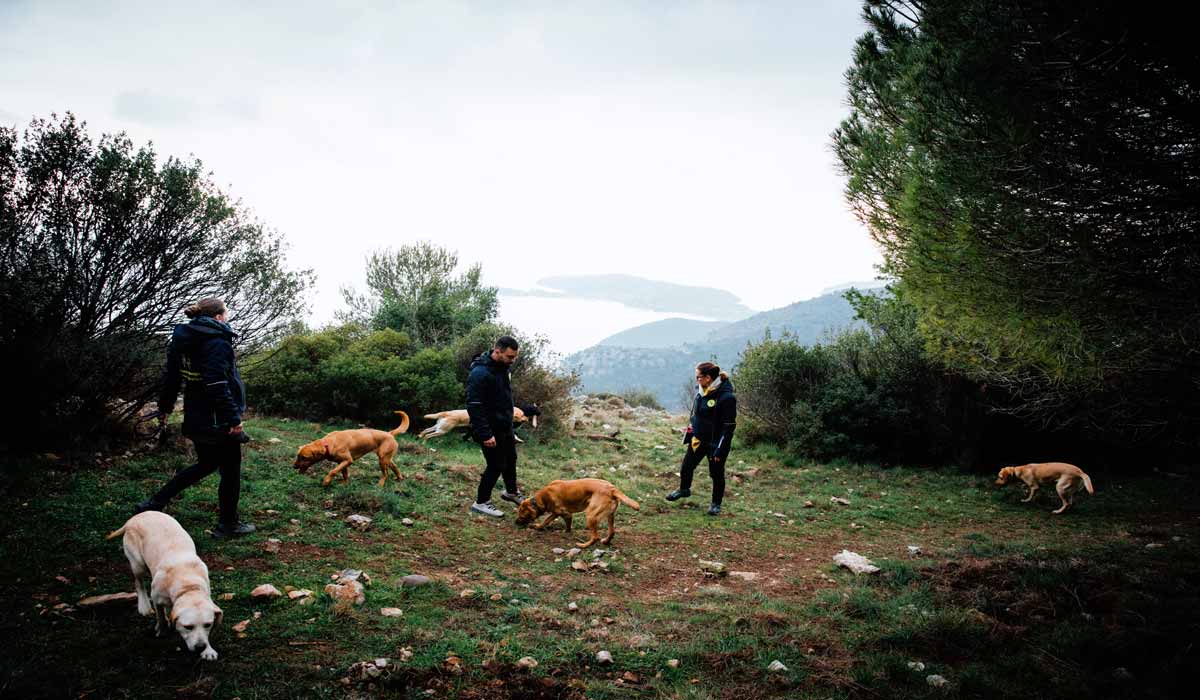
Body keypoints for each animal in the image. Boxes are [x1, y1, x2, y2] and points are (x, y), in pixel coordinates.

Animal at [107, 511, 223, 657]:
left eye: (208, 624)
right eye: (188, 627)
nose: (200, 647)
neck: (187, 584)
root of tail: (134, 518)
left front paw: (208, 650)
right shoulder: (157, 599)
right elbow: (161, 616)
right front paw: (162, 630)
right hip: (138, 564)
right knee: (139, 583)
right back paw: (144, 605)